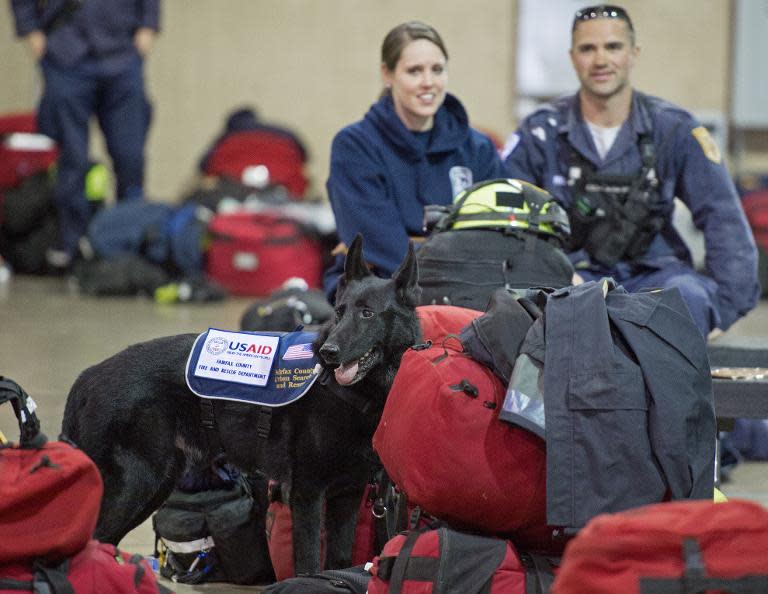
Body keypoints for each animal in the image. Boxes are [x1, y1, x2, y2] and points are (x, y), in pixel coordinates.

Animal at [61, 235, 420, 572]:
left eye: (368, 313)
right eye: (339, 312)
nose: (328, 353)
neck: (352, 393)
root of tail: (88, 376)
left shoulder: (347, 496)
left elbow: (339, 559)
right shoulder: (308, 494)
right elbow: (307, 563)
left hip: (155, 485)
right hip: (137, 484)